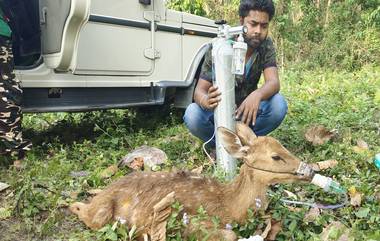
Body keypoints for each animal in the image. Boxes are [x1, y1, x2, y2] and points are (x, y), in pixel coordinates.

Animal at [70, 123, 314, 240]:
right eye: (276, 156)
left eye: (283, 147)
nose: (310, 170)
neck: (230, 205)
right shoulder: (192, 223)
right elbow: (230, 234)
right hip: (100, 215)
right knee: (80, 209)